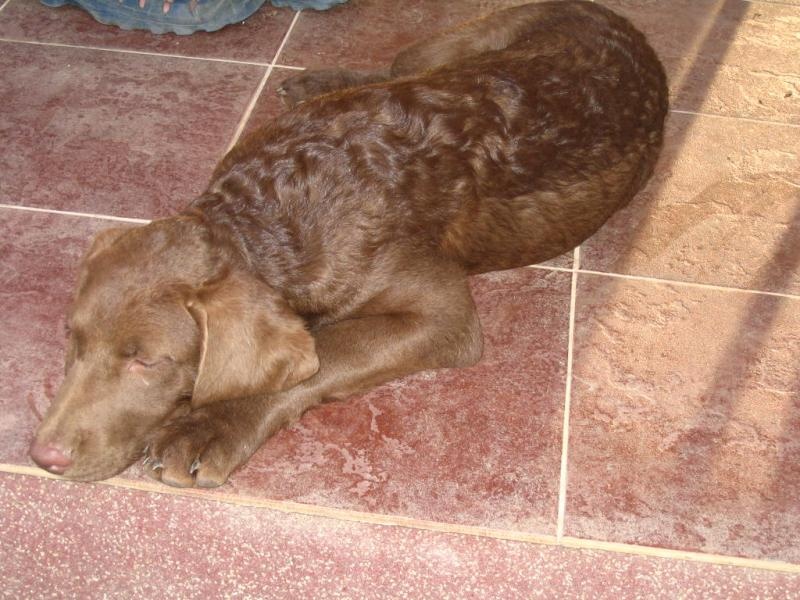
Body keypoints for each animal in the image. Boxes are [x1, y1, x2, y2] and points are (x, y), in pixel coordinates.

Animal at [28, 1, 664, 488]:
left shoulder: (444, 315)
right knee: (393, 68)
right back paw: (320, 80)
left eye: (147, 361)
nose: (43, 456)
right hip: (449, 49)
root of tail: (623, 23)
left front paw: (208, 426)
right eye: (71, 338)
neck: (265, 216)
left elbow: (328, 353)